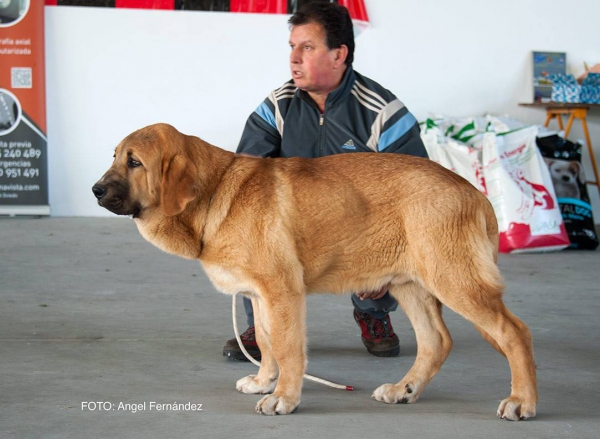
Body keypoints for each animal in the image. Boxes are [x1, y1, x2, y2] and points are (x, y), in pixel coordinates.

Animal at [91, 123, 536, 420]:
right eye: (113, 155)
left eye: (134, 162)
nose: (95, 190)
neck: (214, 192)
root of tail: (475, 194)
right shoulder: (261, 296)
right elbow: (267, 343)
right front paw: (264, 381)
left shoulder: (282, 291)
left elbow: (288, 349)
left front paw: (283, 398)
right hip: (410, 285)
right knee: (436, 341)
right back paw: (403, 389)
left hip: (454, 281)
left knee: (514, 332)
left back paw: (522, 401)